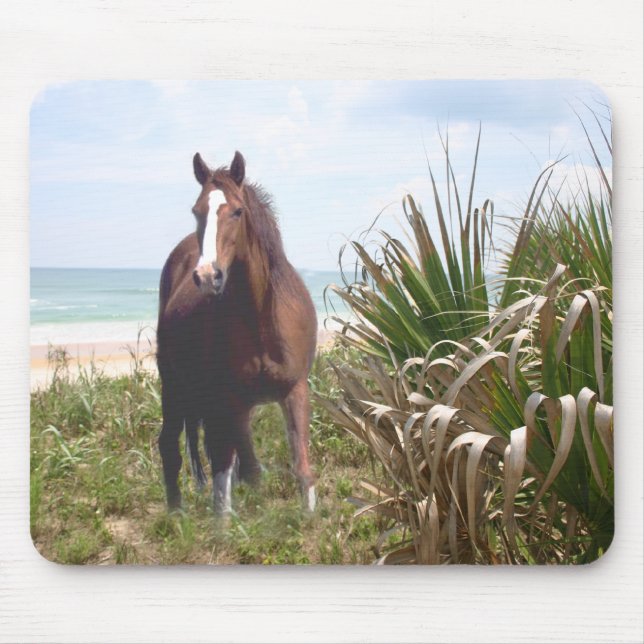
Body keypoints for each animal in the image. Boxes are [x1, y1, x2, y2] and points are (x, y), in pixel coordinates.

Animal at [156, 151, 318, 514]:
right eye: (196, 211)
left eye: (237, 211)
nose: (207, 275)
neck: (262, 319)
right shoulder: (232, 400)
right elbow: (240, 470)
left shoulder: (295, 389)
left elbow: (301, 467)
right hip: (174, 385)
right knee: (170, 445)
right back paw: (175, 516)